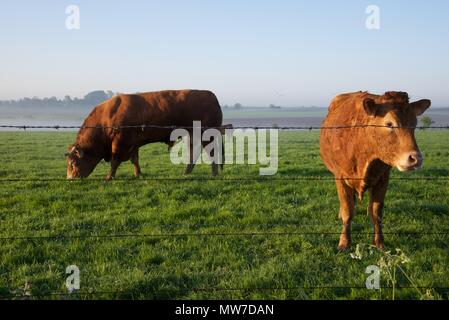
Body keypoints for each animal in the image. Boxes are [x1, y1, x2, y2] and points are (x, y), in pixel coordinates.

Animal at [65, 89, 223, 180]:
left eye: (73, 163)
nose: (69, 178)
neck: (107, 118)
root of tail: (212, 97)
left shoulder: (120, 143)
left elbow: (115, 161)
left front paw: (109, 176)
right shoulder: (132, 143)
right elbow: (135, 159)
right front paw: (138, 173)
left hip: (206, 135)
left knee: (211, 152)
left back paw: (214, 174)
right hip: (192, 135)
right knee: (193, 154)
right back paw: (187, 172)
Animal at [318, 91, 430, 251]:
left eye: (414, 124)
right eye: (389, 124)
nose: (416, 158)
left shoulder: (383, 179)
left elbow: (377, 213)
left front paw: (379, 242)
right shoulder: (340, 177)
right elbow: (347, 211)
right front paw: (344, 242)